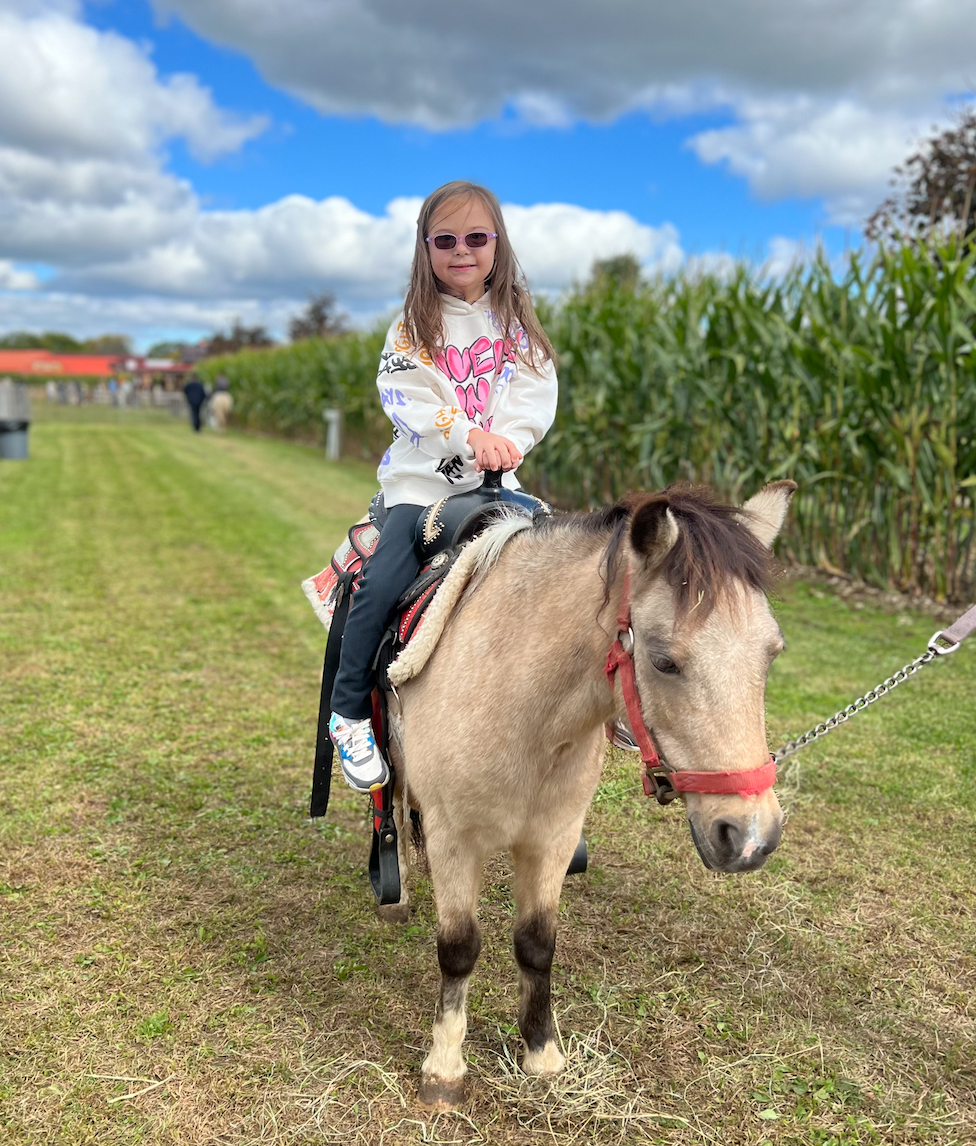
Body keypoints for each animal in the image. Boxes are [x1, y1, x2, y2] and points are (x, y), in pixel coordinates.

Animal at [382, 480, 796, 1106]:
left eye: (772, 654)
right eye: (664, 661)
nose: (750, 836)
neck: (518, 702)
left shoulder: (551, 839)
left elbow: (536, 943)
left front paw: (542, 1053)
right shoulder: (456, 838)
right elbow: (458, 949)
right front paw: (444, 1070)